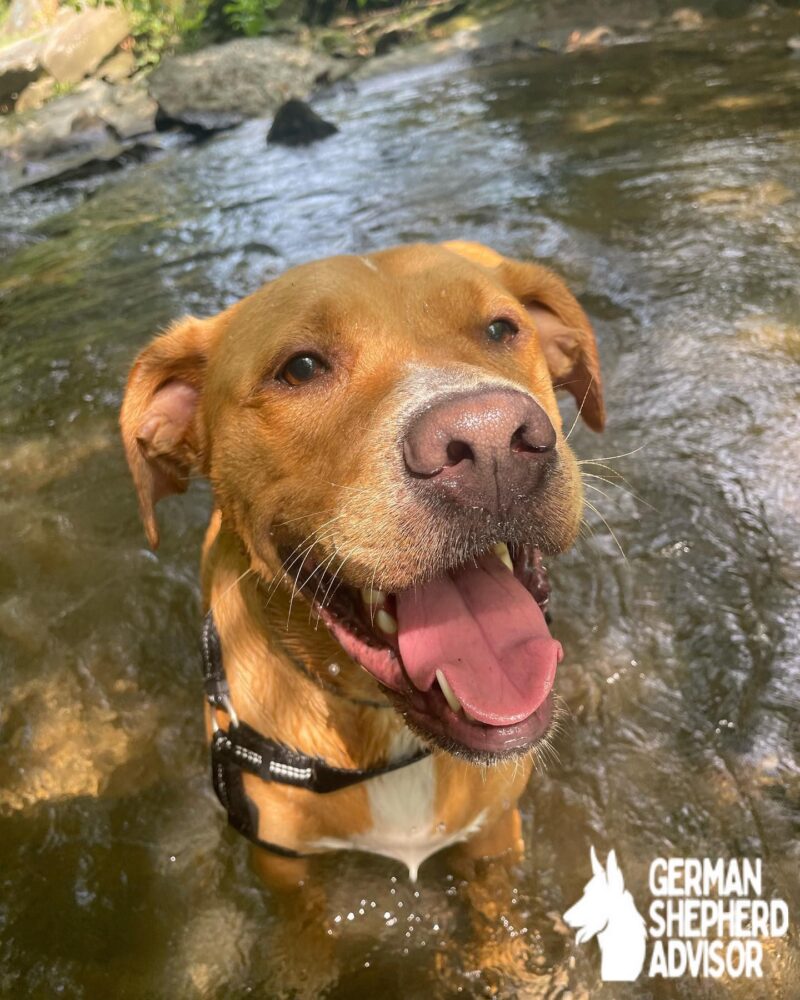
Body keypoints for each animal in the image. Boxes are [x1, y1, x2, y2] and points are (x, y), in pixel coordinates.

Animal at [122, 240, 604, 976]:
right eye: (300, 367)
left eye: (501, 328)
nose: (491, 441)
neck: (385, 731)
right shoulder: (282, 867)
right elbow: (306, 947)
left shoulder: (495, 835)